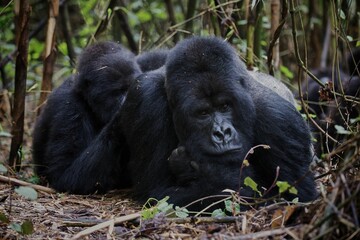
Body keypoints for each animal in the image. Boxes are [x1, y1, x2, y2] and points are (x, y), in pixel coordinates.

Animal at [32, 36, 316, 209]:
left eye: (225, 106)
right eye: (202, 113)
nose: (222, 133)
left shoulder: (281, 121)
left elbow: (296, 196)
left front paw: (195, 166)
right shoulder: (145, 102)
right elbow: (160, 191)